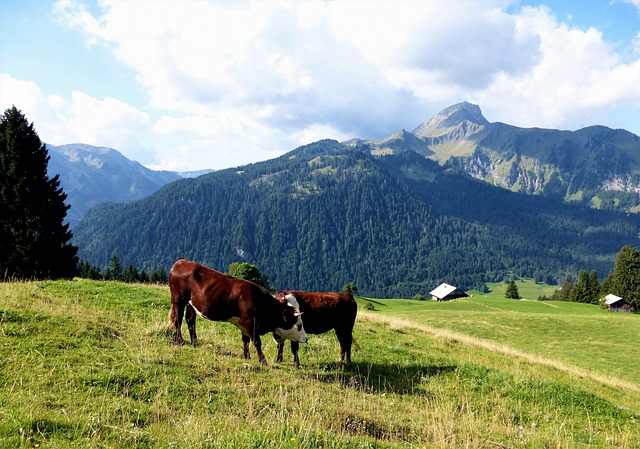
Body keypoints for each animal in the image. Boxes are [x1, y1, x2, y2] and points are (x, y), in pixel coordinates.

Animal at [168, 260, 308, 364]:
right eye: (299, 325)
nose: (306, 338)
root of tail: (180, 262)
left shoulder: (243, 323)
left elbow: (245, 341)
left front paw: (247, 357)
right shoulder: (249, 321)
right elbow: (256, 341)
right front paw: (263, 361)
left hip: (190, 304)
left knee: (190, 320)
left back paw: (194, 343)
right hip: (178, 300)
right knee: (177, 320)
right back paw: (179, 341)